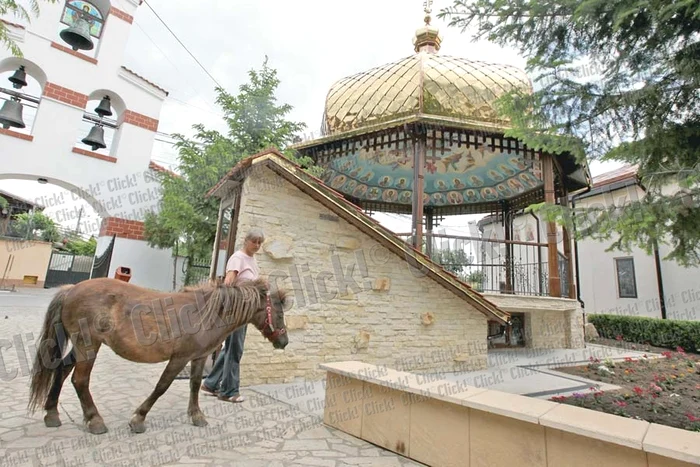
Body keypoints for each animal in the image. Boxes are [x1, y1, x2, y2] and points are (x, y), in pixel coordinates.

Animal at [26, 278, 286, 436]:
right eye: (280, 312)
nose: (284, 342)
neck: (206, 313)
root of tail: (71, 289)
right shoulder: (179, 358)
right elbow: (162, 386)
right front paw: (138, 419)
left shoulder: (198, 358)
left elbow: (194, 385)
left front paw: (197, 415)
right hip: (88, 346)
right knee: (79, 380)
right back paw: (95, 420)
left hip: (81, 347)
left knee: (61, 371)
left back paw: (52, 414)